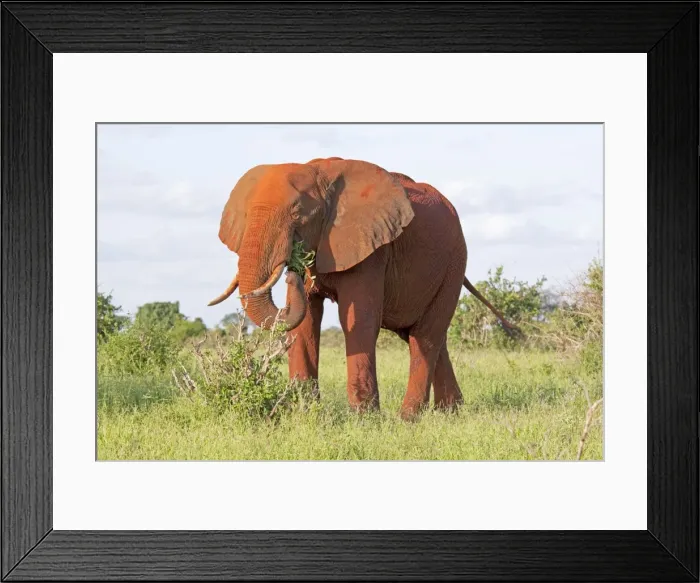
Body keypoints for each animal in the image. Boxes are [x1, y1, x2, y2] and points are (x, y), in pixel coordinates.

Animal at [207, 157, 518, 420]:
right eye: (246, 214)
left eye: (297, 213)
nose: (291, 271)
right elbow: (306, 322)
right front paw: (305, 413)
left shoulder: (372, 248)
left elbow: (358, 320)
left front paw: (363, 419)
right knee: (428, 336)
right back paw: (450, 413)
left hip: (454, 262)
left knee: (426, 336)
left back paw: (408, 419)